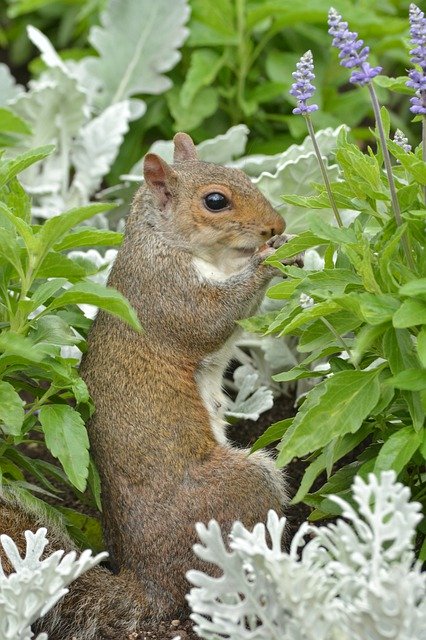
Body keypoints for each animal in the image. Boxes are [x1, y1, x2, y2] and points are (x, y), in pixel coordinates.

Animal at [0, 132, 290, 636]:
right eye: (216, 201)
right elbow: (212, 320)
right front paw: (269, 259)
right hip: (241, 489)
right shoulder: (167, 295)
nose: (276, 225)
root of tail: (151, 584)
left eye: (245, 173)